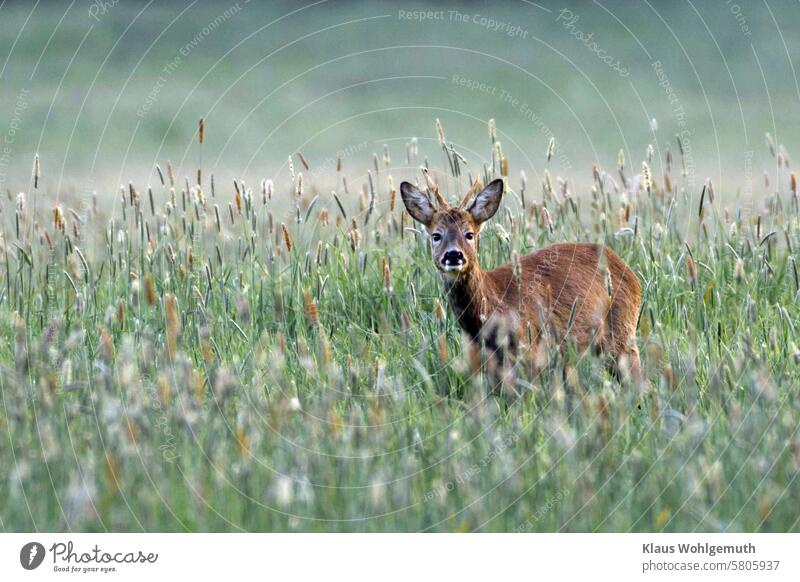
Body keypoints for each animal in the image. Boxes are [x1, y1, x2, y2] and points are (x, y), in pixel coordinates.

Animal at [400, 176, 644, 390]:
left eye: (469, 234)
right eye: (436, 235)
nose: (453, 255)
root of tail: (630, 272)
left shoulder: (530, 346)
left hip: (622, 333)